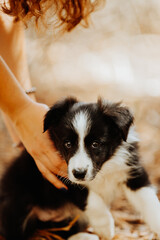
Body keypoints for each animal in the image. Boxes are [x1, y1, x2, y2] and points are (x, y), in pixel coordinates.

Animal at [0, 97, 160, 240]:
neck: (104, 167)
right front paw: (105, 226)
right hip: (15, 203)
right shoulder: (59, 174)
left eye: (96, 144)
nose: (79, 174)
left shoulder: (132, 171)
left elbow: (149, 201)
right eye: (68, 144)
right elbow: (91, 198)